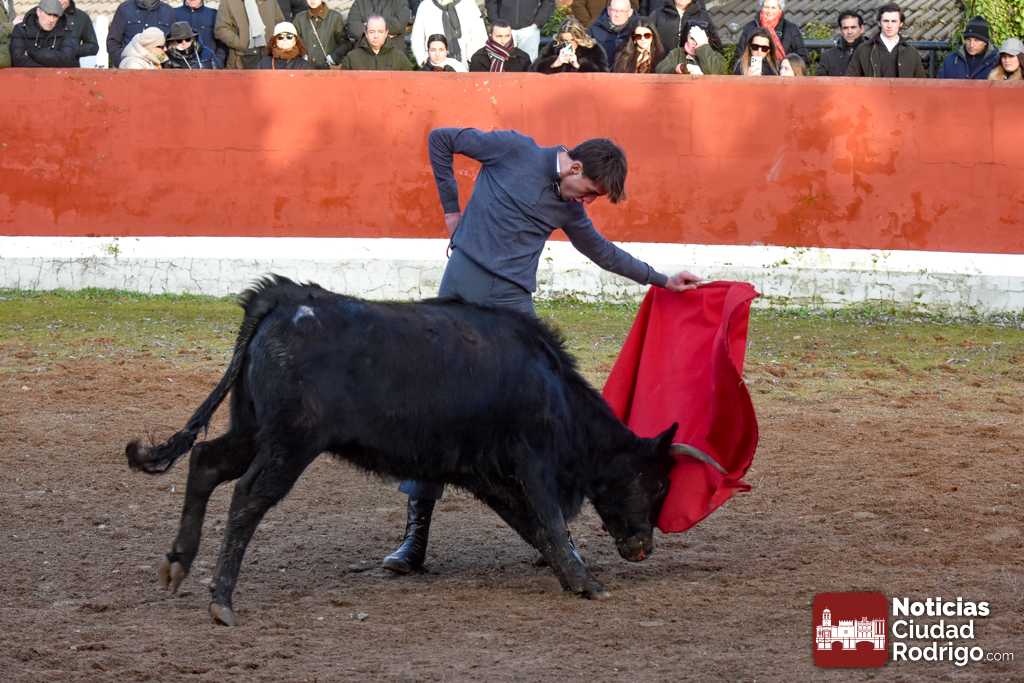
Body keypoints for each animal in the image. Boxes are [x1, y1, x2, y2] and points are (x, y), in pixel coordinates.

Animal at [126, 275, 680, 626]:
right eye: (655, 482)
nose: (643, 546)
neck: (552, 386)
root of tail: (284, 300)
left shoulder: (484, 472)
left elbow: (533, 526)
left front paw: (569, 574)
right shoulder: (534, 463)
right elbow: (549, 521)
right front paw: (586, 581)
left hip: (251, 427)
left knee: (205, 462)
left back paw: (178, 564)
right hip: (289, 444)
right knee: (246, 497)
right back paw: (221, 598)